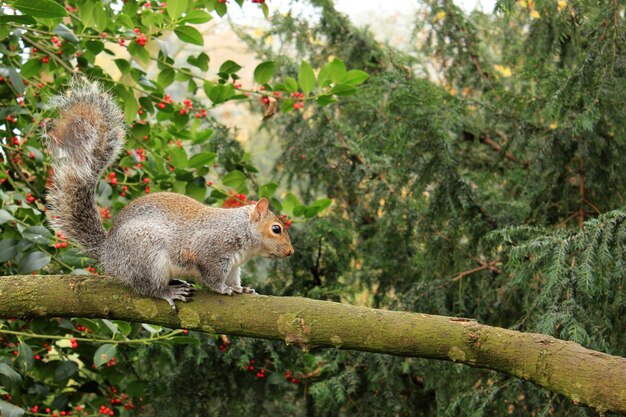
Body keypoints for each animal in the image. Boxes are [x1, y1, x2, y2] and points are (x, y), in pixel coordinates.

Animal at [45, 80, 294, 308]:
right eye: (276, 229)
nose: (291, 252)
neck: (240, 230)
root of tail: (109, 255)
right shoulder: (211, 250)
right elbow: (212, 277)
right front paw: (224, 289)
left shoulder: (233, 265)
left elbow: (233, 278)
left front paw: (240, 288)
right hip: (147, 256)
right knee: (147, 287)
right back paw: (168, 291)